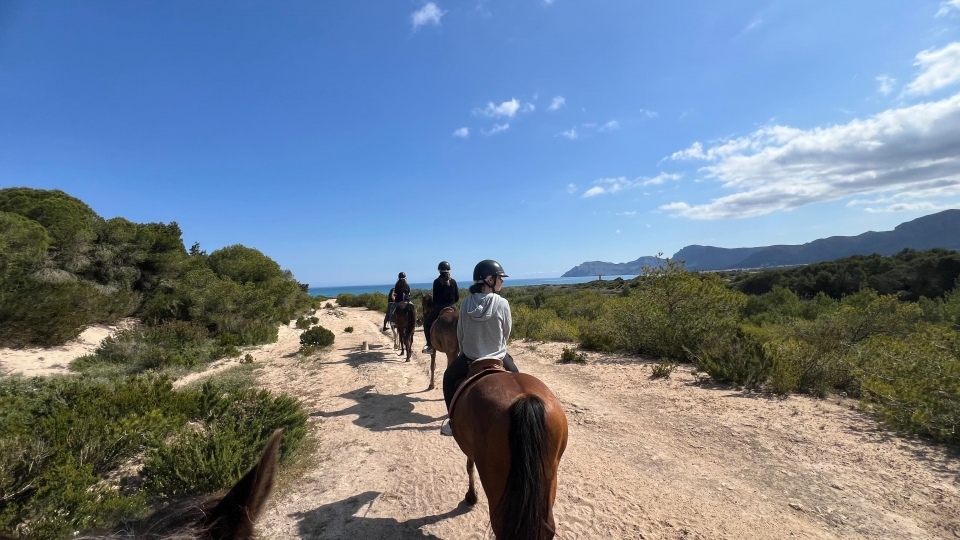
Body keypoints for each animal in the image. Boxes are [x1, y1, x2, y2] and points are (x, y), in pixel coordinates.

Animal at [449, 365, 568, 540]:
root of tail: (525, 399)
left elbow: (469, 467)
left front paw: (471, 497)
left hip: (496, 482)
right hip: (548, 477)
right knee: (547, 527)